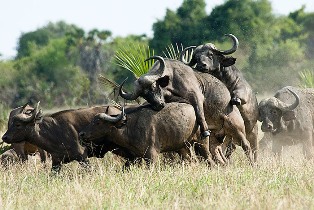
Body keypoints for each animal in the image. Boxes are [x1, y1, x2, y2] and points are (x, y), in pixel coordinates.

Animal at [1, 102, 134, 171]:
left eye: (18, 124)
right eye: (10, 123)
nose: (4, 137)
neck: (54, 132)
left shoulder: (82, 157)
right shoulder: (56, 162)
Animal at [78, 102, 216, 167]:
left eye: (98, 122)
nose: (81, 134)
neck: (130, 128)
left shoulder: (152, 156)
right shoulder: (136, 158)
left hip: (202, 144)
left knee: (209, 160)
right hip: (182, 148)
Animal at [119, 56, 254, 165]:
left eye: (154, 86)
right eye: (144, 95)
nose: (159, 104)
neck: (172, 79)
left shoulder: (196, 95)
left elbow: (199, 112)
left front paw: (205, 131)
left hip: (236, 127)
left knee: (246, 145)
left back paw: (253, 164)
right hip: (215, 141)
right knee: (217, 153)